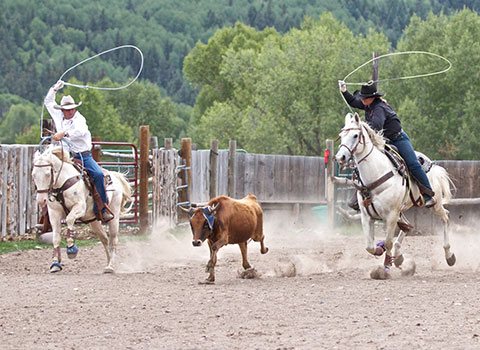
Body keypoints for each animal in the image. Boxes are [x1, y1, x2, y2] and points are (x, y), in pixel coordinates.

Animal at [31, 145, 131, 274]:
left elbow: (69, 219)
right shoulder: (54, 213)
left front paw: (71, 248)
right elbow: (56, 237)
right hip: (93, 221)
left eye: (48, 174)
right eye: (33, 175)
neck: (63, 183)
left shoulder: (79, 207)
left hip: (114, 216)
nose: (41, 200)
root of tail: (115, 176)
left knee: (113, 240)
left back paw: (110, 266)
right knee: (104, 239)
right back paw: (108, 263)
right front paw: (55, 264)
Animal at [336, 112, 456, 276]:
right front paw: (381, 251)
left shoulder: (391, 215)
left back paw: (449, 255)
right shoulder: (366, 216)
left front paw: (385, 267)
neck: (376, 172)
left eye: (355, 135)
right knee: (408, 226)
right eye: (341, 135)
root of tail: (432, 166)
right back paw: (399, 257)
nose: (340, 157)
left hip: (434, 204)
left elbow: (388, 242)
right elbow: (370, 246)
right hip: (402, 209)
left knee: (445, 218)